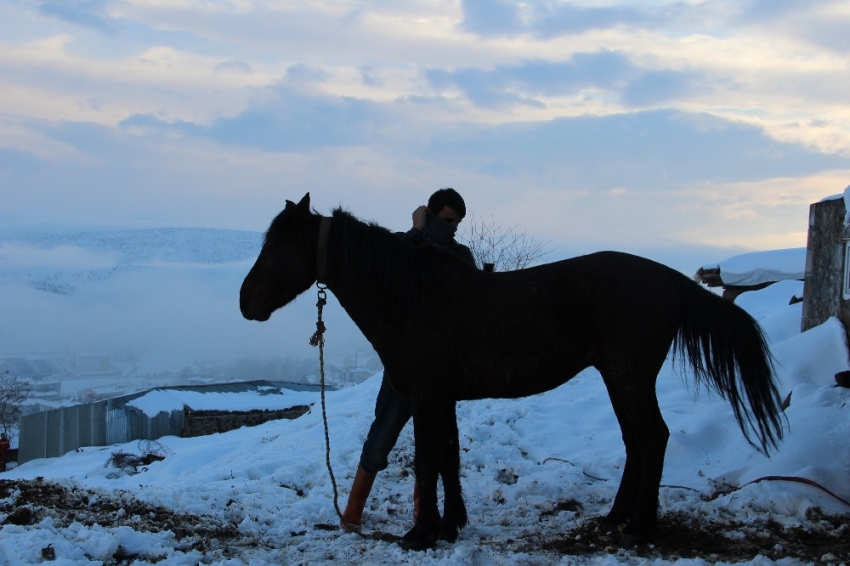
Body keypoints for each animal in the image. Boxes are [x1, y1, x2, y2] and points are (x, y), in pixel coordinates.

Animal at [238, 194, 780, 552]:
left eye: (279, 246)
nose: (245, 302)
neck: (414, 298)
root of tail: (666, 277)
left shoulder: (426, 396)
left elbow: (429, 461)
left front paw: (421, 533)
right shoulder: (441, 398)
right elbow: (449, 458)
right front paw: (451, 526)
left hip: (629, 377)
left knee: (652, 437)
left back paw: (638, 525)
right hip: (618, 377)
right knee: (636, 442)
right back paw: (614, 517)